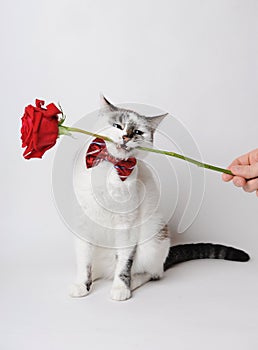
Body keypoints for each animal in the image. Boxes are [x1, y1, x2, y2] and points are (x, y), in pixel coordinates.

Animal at [70, 95, 250, 300]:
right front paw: (82, 285)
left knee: (152, 273)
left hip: (153, 239)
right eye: (118, 125)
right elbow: (84, 262)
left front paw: (121, 288)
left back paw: (132, 282)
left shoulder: (127, 225)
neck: (111, 168)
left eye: (138, 132)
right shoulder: (83, 224)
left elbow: (124, 264)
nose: (127, 136)